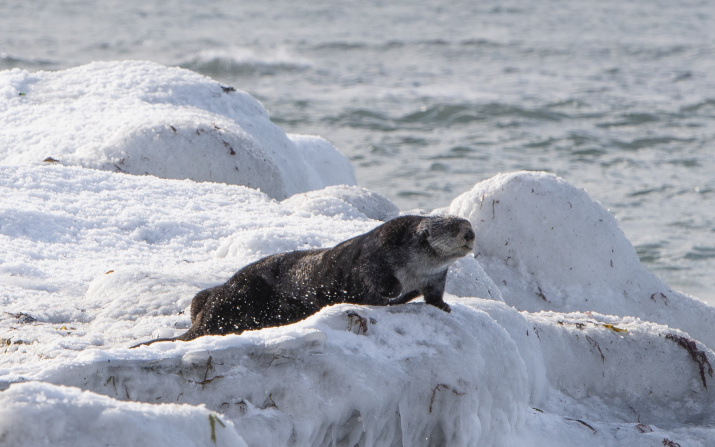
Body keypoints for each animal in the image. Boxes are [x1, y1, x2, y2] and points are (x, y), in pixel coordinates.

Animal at [134, 215, 476, 348]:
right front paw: (393, 291)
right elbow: (374, 277)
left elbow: (434, 294)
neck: (413, 268)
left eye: (468, 223)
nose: (471, 234)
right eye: (454, 227)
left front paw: (443, 307)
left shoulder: (434, 277)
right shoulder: (376, 254)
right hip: (242, 293)